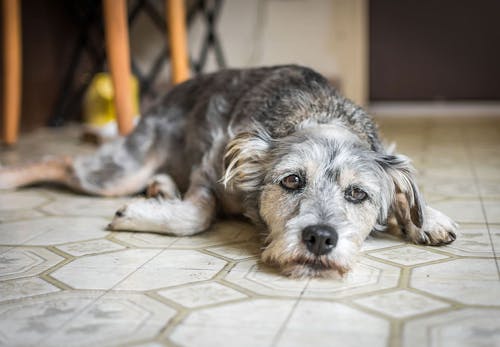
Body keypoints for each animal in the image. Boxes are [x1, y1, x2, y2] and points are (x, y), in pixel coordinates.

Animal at [0, 65, 458, 278]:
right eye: (292, 180)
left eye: (358, 194)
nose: (320, 238)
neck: (318, 113)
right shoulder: (211, 168)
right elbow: (196, 215)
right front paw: (141, 216)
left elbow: (408, 194)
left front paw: (427, 219)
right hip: (120, 170)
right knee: (61, 160)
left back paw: (160, 188)